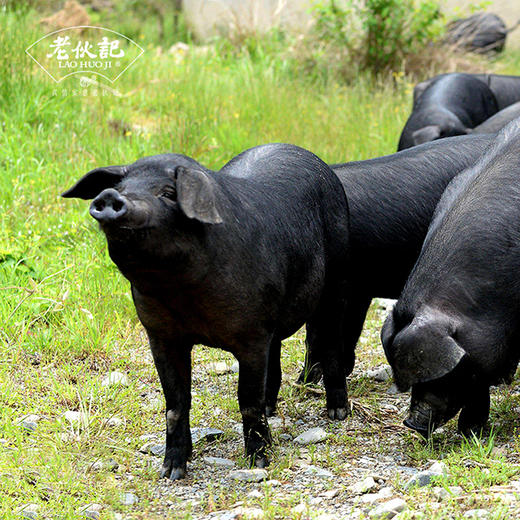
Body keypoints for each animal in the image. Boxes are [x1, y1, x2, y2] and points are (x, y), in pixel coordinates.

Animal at [62, 144, 350, 482]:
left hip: (338, 277)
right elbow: (176, 403)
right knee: (276, 354)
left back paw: (337, 413)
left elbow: (247, 401)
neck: (181, 293)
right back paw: (272, 410)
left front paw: (259, 463)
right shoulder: (160, 334)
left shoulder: (252, 334)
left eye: (168, 192)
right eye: (122, 186)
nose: (109, 196)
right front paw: (171, 472)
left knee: (331, 343)